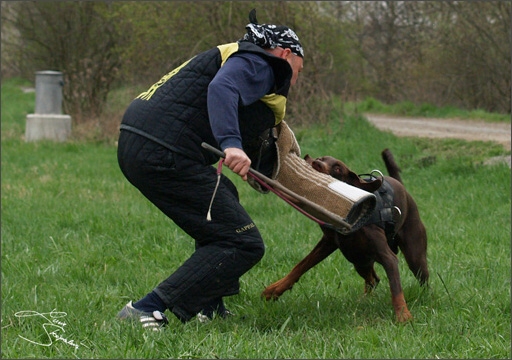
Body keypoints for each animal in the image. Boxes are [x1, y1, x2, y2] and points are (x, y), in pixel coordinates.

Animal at [262, 148, 430, 322]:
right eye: (321, 158)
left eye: (337, 168)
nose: (316, 163)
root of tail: (402, 188)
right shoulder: (328, 242)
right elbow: (301, 265)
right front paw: (275, 289)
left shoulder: (388, 257)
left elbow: (396, 287)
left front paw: (403, 314)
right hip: (358, 259)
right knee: (373, 279)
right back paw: (364, 300)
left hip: (413, 256)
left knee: (422, 278)